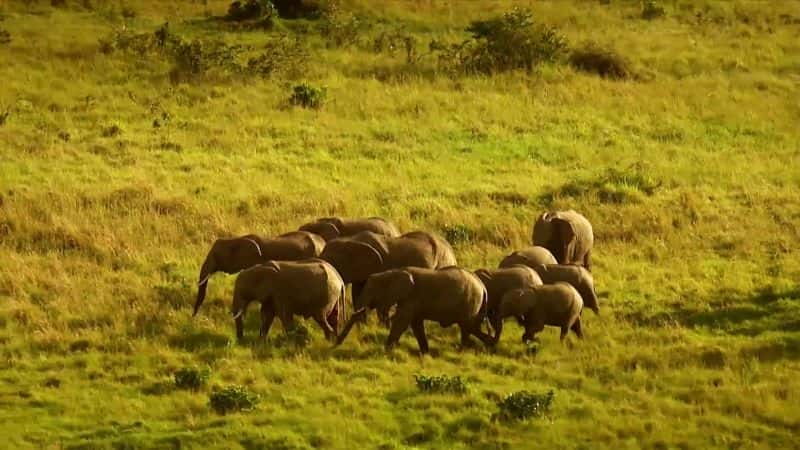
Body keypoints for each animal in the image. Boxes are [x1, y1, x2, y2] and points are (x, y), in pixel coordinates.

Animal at [332, 268, 494, 356]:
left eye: (372, 290)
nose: (336, 343)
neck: (393, 272)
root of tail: (483, 286)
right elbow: (416, 324)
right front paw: (425, 354)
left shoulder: (411, 297)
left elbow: (402, 321)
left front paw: (385, 350)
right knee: (470, 327)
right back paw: (487, 345)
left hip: (470, 301)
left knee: (467, 327)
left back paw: (467, 349)